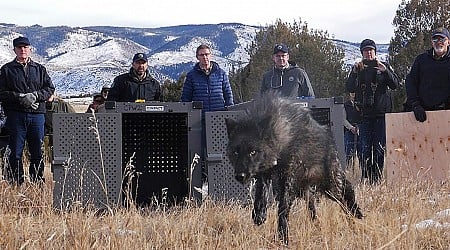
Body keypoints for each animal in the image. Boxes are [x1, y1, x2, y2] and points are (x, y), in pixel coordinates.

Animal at [225, 92, 362, 244]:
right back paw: (318, 225)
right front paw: (259, 215)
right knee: (313, 208)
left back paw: (354, 217)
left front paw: (283, 237)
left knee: (345, 195)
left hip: (330, 187)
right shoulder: (264, 174)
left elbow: (283, 209)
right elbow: (261, 194)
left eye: (253, 152)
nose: (240, 176)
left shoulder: (287, 180)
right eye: (236, 152)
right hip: (306, 191)